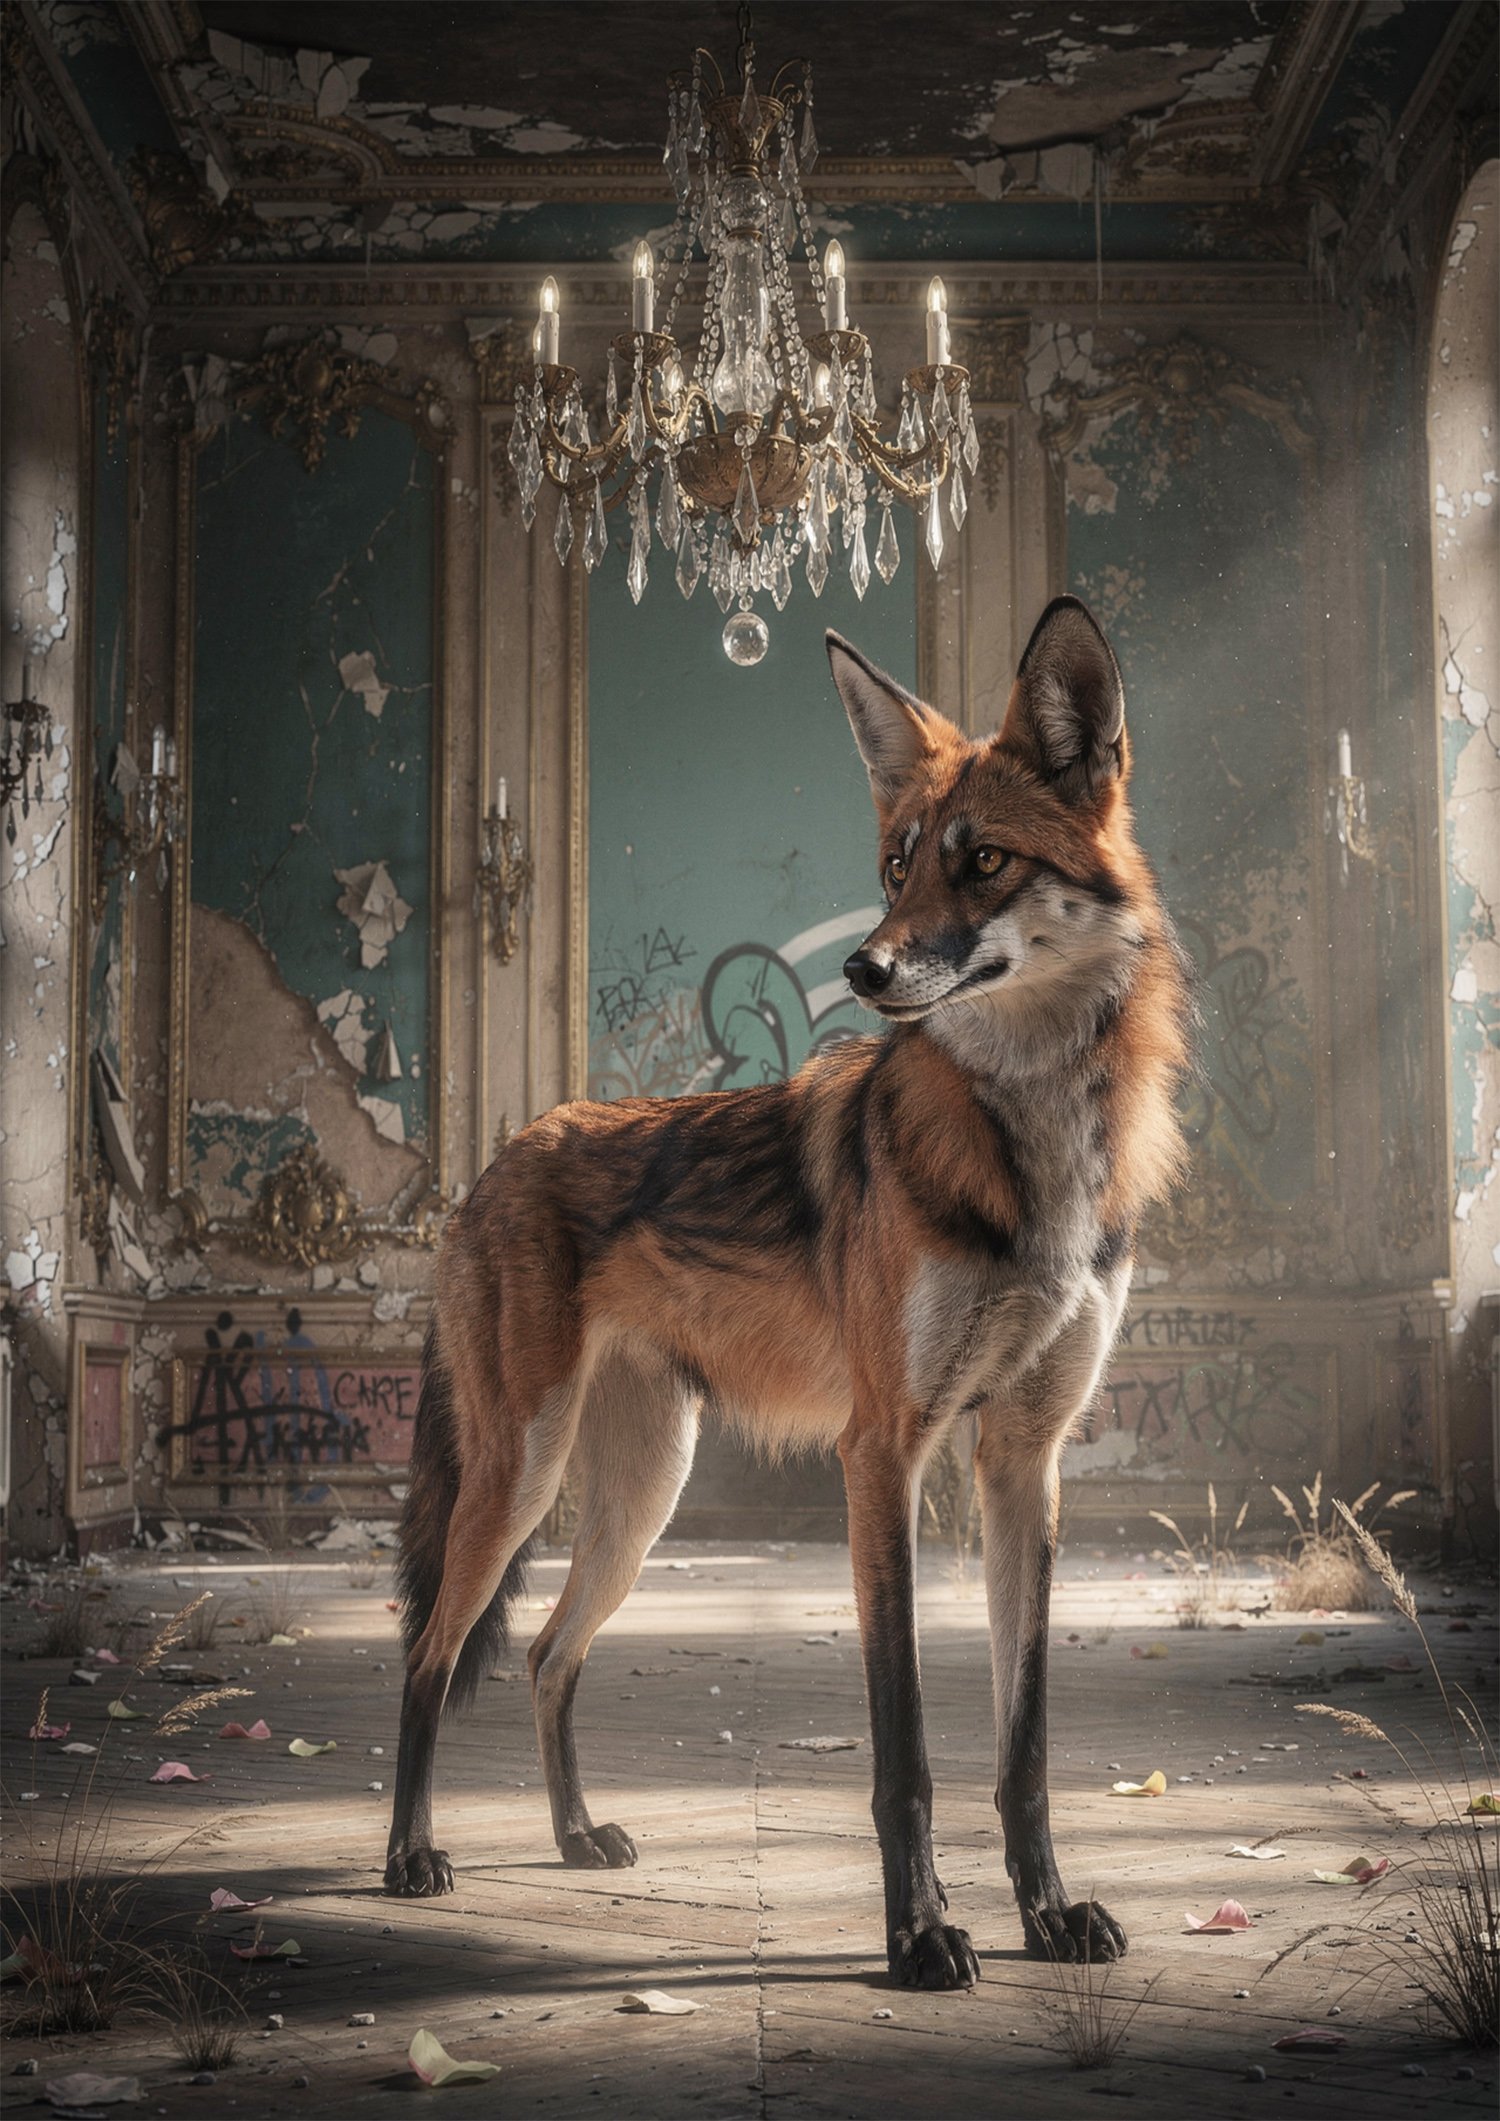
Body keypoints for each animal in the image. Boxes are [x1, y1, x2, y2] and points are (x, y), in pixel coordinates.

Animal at [384, 594, 1192, 1988]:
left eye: (985, 863)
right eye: (896, 866)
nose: (864, 969)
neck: (1030, 1155)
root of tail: (502, 1152)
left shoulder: (1022, 1462)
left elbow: (1022, 1749)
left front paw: (1048, 1914)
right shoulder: (884, 1454)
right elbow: (905, 1749)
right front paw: (920, 1934)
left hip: (640, 1500)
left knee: (542, 1653)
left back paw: (576, 1836)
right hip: (521, 1476)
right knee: (433, 1657)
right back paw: (409, 1858)